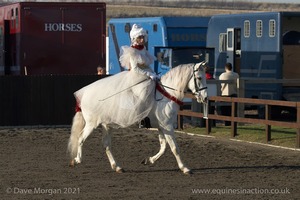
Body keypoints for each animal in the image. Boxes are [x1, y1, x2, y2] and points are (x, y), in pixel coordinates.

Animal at [68, 61, 207, 174]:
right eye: (199, 78)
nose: (205, 98)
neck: (167, 94)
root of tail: (84, 95)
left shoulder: (161, 127)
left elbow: (163, 147)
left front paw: (149, 160)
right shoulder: (167, 126)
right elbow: (174, 148)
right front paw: (185, 168)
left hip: (106, 125)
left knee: (106, 145)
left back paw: (117, 167)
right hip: (92, 124)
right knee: (81, 138)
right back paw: (76, 160)